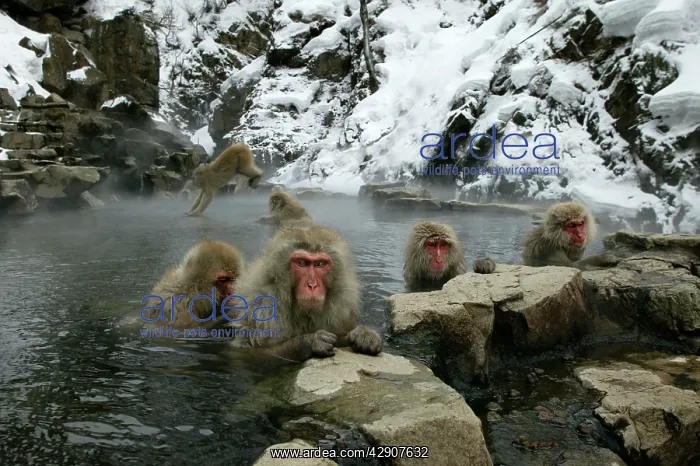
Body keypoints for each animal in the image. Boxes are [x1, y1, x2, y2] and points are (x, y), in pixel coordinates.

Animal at [221, 225, 382, 363]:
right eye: (302, 262)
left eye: (320, 264)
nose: (312, 285)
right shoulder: (262, 304)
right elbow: (250, 352)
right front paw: (308, 342)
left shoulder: (343, 302)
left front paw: (364, 334)